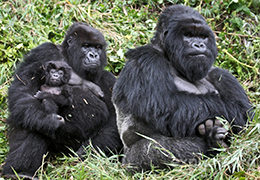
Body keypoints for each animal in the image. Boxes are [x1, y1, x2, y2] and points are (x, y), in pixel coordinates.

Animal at [3, 22, 122, 177]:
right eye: (86, 46)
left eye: (97, 47)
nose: (94, 55)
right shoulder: (43, 52)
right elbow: (24, 89)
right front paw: (46, 119)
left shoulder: (109, 81)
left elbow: (115, 120)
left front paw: (87, 152)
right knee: (29, 116)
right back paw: (19, 173)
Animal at [112, 4, 253, 172]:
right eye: (188, 35)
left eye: (203, 36)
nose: (199, 45)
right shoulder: (145, 58)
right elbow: (165, 103)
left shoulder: (222, 74)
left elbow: (247, 114)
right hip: (130, 162)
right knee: (159, 150)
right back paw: (213, 142)